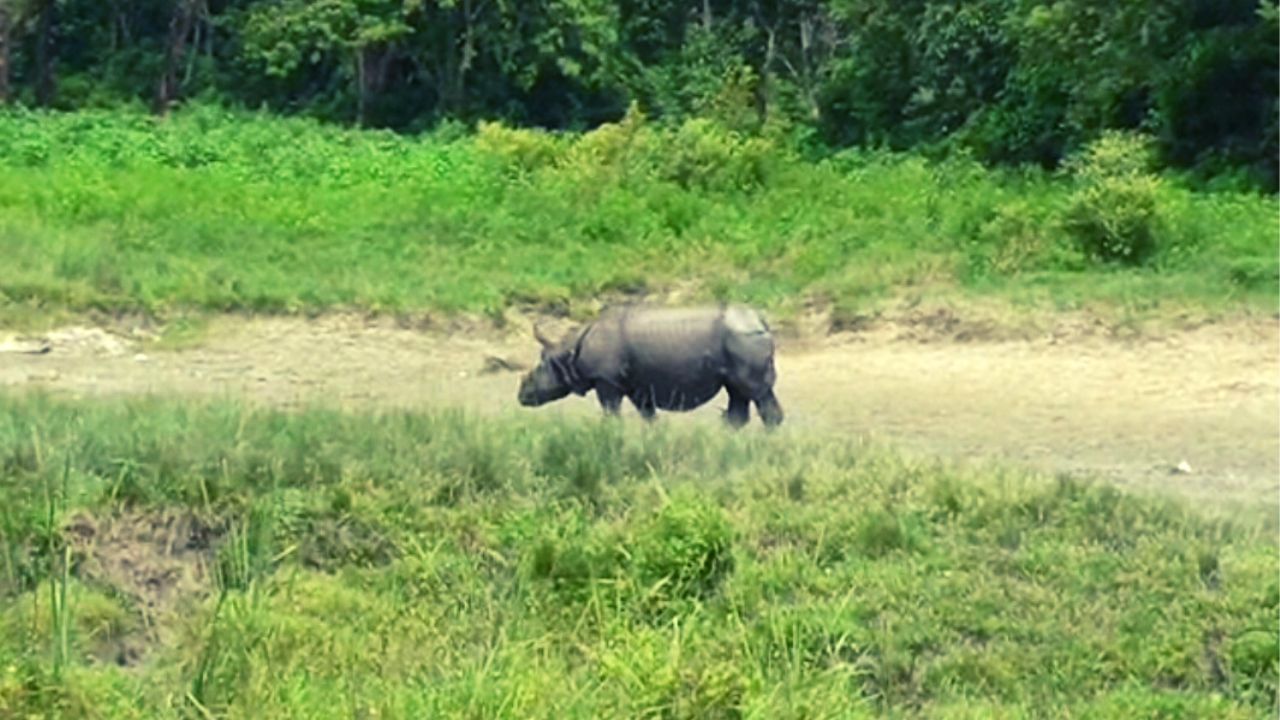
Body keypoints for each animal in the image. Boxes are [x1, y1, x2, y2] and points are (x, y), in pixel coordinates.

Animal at [517, 301, 778, 425]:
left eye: (538, 370)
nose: (521, 396)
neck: (568, 351)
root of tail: (761, 321)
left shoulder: (606, 380)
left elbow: (611, 413)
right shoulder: (637, 386)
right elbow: (648, 416)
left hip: (743, 339)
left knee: (753, 392)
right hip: (742, 341)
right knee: (740, 393)